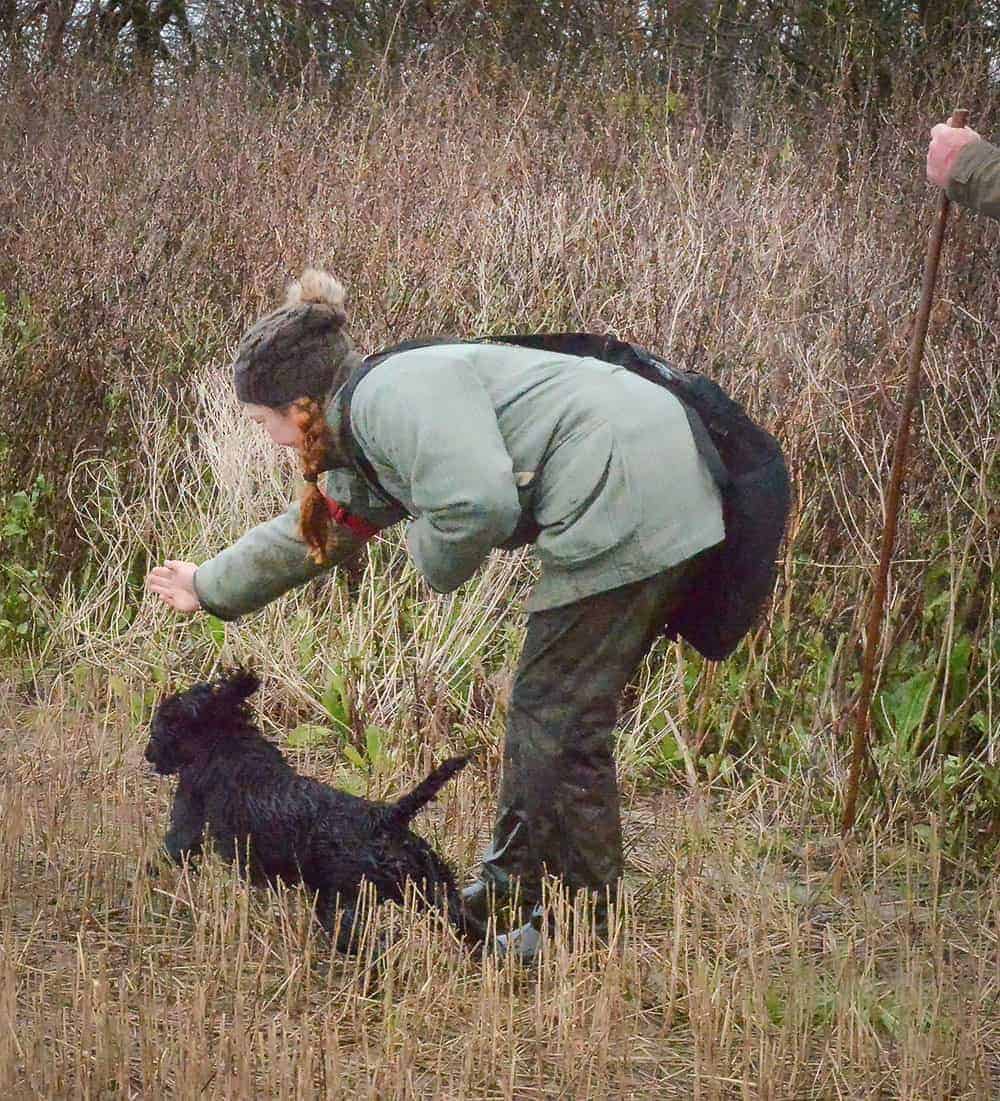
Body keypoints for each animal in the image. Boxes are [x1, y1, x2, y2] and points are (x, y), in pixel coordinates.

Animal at [145, 665, 473, 951]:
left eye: (161, 726)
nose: (148, 754)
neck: (226, 739)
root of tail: (385, 817)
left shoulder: (189, 815)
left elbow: (169, 850)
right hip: (433, 889)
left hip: (342, 901)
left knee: (360, 942)